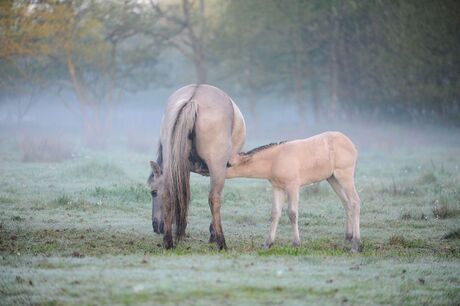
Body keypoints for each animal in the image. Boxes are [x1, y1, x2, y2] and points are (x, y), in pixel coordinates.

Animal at [149, 83, 246, 249]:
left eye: (153, 192)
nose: (156, 227)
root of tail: (193, 98)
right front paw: (213, 234)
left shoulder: (183, 169)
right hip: (217, 166)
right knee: (214, 198)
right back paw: (221, 242)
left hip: (171, 161)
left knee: (169, 193)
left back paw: (168, 241)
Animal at [228, 131, 362, 253]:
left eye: (228, 164)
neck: (275, 159)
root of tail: (349, 143)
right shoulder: (278, 188)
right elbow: (275, 214)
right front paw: (267, 244)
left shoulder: (292, 187)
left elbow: (292, 213)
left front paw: (296, 243)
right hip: (332, 179)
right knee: (346, 202)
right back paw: (348, 237)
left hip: (344, 176)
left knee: (355, 202)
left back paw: (355, 245)